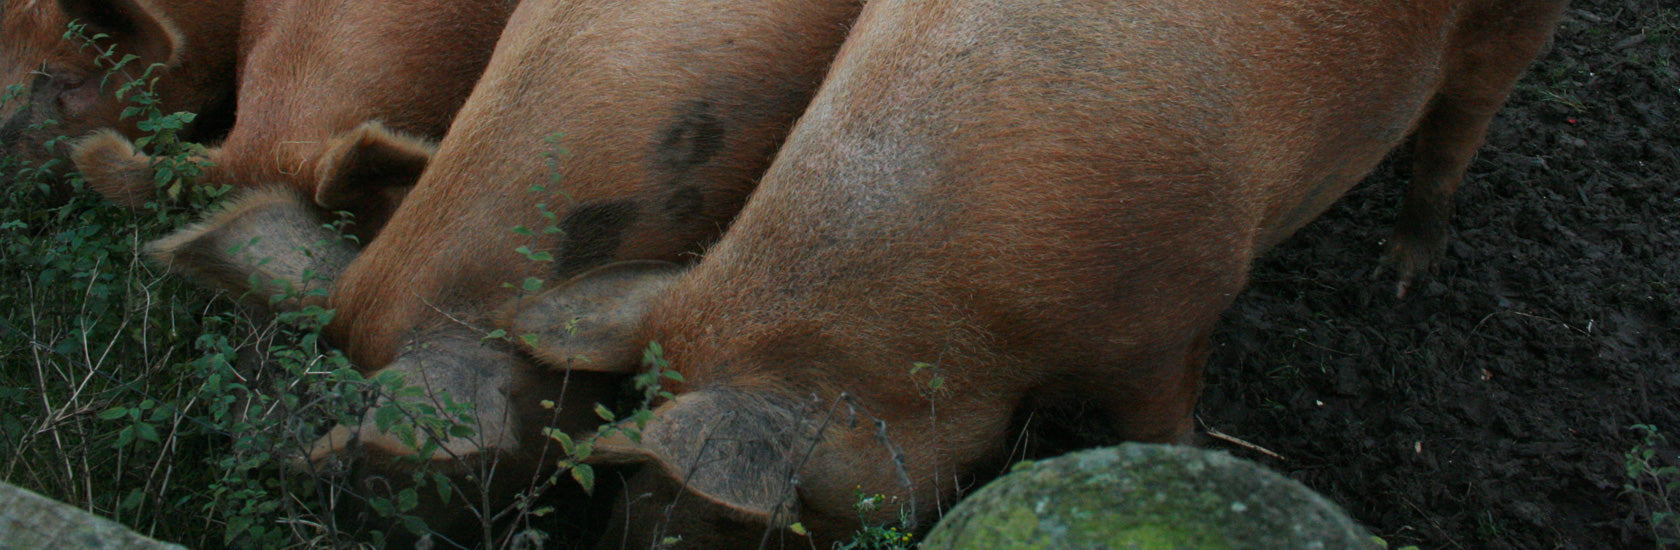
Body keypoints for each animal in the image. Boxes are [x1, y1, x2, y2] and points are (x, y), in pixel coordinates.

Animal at [497, 0, 1572, 548]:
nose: (623, 535)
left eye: (766, 522)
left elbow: (1161, 423)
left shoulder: (1172, 313)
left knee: (1458, 126)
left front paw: (1190, 460)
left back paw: (1402, 273)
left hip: (1511, 24)